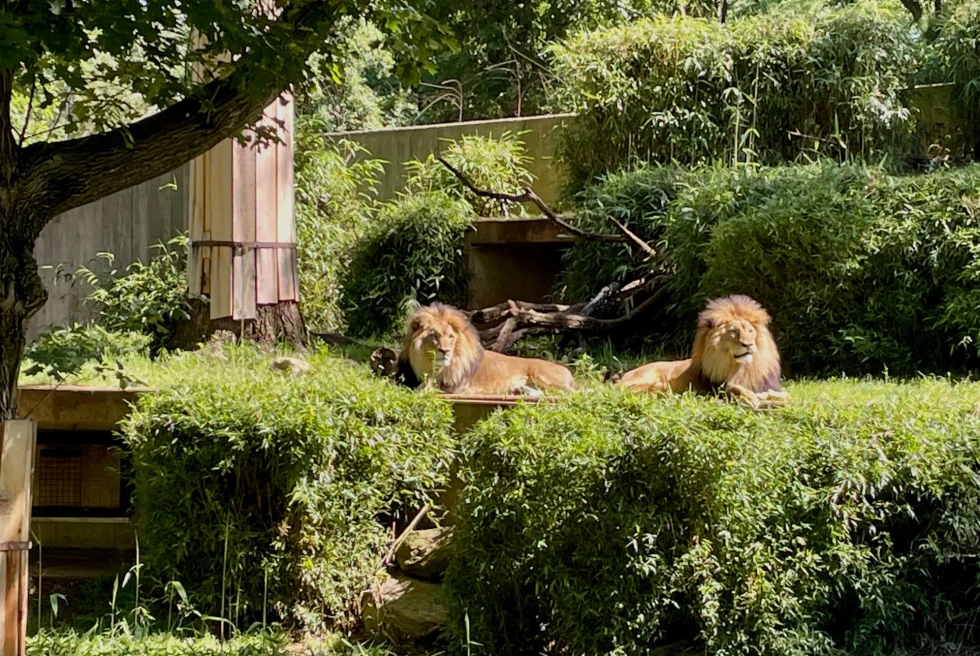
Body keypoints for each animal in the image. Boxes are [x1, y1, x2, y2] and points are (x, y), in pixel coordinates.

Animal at [396, 302, 580, 394]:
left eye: (451, 337)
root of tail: (568, 371)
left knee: (575, 392)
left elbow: (423, 388)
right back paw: (520, 391)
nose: (445, 352)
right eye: (434, 336)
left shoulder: (453, 388)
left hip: (542, 376)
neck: (429, 364)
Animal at [616, 294, 792, 408]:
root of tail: (623, 376)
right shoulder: (715, 387)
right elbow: (733, 388)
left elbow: (785, 396)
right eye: (733, 332)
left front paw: (766, 397)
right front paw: (750, 397)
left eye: (750, 332)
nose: (747, 344)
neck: (742, 368)